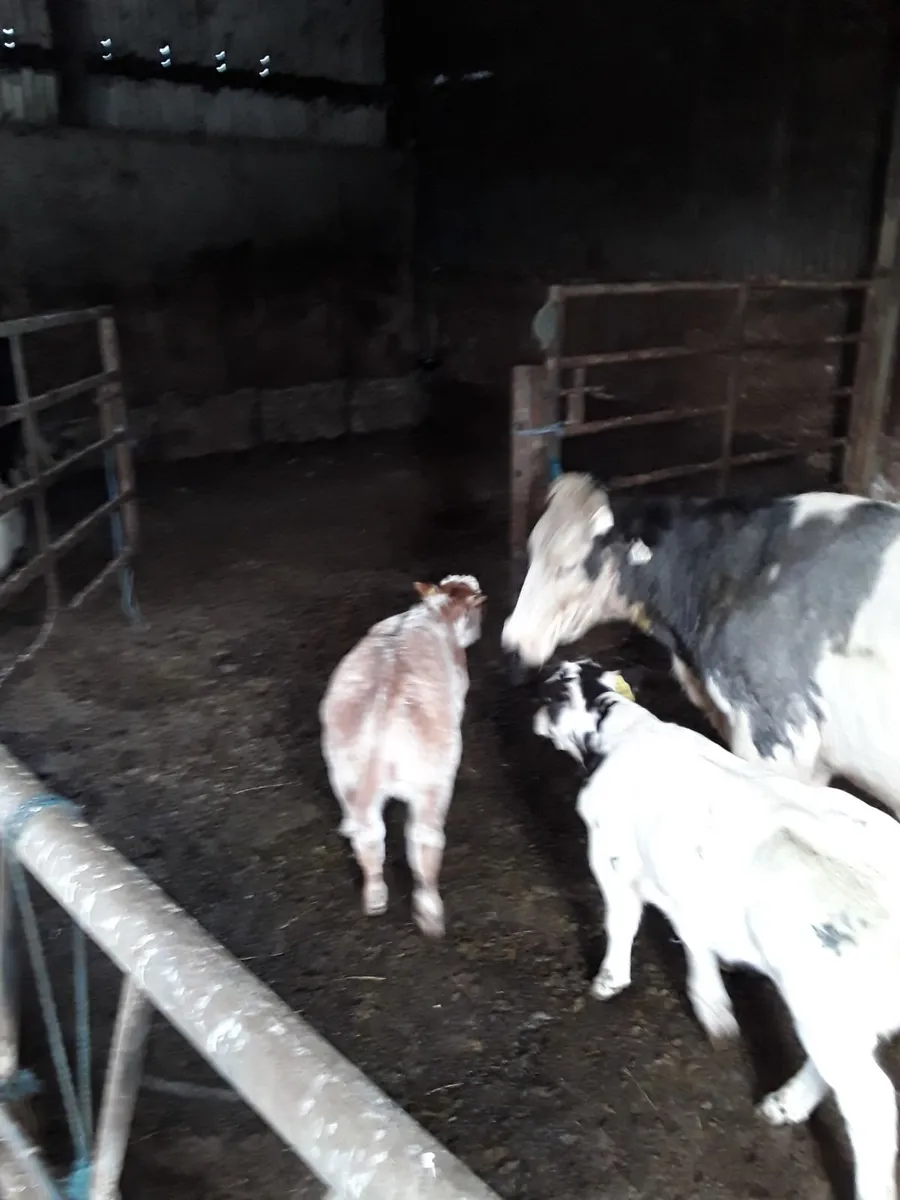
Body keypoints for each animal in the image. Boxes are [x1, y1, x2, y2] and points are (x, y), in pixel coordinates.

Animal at [319, 574, 485, 937]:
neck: (434, 613)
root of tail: (384, 718)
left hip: (346, 777)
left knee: (369, 837)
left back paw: (375, 895)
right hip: (431, 785)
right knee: (424, 841)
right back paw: (430, 912)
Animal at [534, 657, 900, 1200]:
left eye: (549, 692)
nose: (533, 714)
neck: (628, 729)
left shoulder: (610, 856)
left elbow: (621, 921)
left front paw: (607, 980)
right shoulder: (686, 885)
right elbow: (695, 938)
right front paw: (713, 1007)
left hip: (824, 1003)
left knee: (871, 1103)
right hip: (839, 1014)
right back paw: (784, 1104)